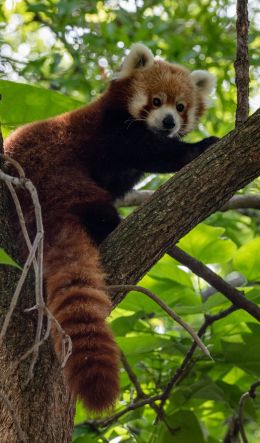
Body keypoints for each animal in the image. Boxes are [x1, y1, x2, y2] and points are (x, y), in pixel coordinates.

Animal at [4, 43, 218, 414]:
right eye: (156, 100)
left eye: (181, 106)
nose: (169, 122)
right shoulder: (113, 131)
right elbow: (152, 152)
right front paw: (198, 148)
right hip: (58, 173)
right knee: (93, 206)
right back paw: (108, 226)